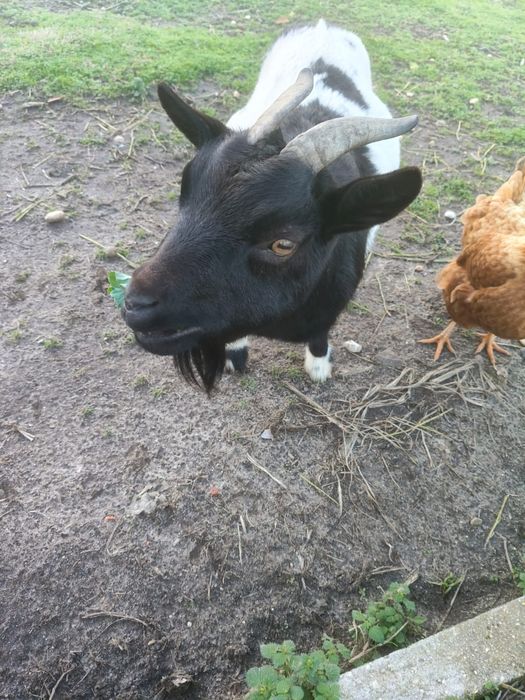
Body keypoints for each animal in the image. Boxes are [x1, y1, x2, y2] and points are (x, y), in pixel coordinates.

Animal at [123, 20, 422, 391]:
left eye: (282, 244)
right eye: (185, 199)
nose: (136, 305)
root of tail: (323, 25)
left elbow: (320, 333)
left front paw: (319, 366)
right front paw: (236, 353)